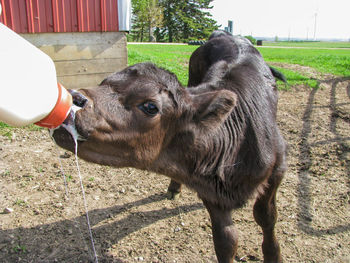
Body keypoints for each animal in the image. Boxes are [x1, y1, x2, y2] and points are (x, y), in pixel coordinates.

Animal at [52, 31, 288, 263]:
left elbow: (266, 217)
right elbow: (226, 241)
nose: (75, 97)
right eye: (103, 81)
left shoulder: (278, 169)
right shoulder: (208, 187)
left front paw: (274, 255)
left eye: (150, 106)